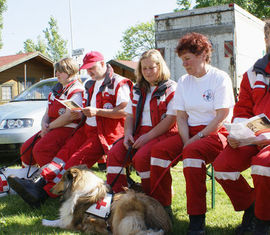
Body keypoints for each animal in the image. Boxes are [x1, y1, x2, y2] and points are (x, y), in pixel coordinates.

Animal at [42, 165, 173, 235]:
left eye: (62, 179)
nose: (51, 189)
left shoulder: (71, 222)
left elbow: (58, 222)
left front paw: (45, 221)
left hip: (127, 202)